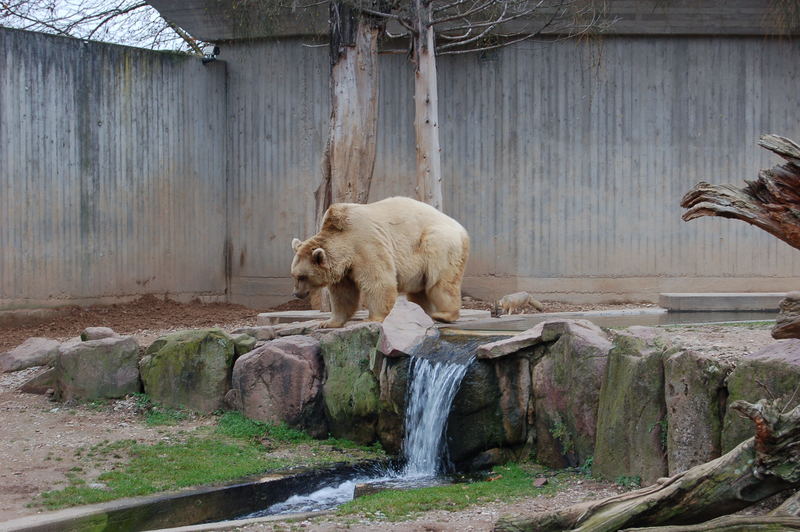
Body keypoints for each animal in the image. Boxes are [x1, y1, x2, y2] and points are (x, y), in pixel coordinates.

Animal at [292, 196, 468, 328]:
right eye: (294, 275)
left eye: (302, 276)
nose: (296, 293)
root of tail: (462, 230)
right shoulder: (344, 270)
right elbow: (343, 294)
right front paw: (328, 322)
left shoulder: (365, 244)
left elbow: (378, 281)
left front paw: (372, 318)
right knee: (420, 290)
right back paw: (422, 313)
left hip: (437, 243)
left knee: (441, 282)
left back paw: (444, 315)